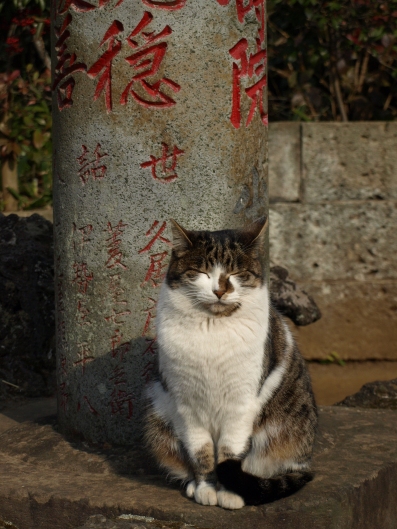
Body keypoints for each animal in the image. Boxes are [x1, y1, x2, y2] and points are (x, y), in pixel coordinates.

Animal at [144, 214, 318, 508]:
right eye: (202, 272)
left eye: (237, 273)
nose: (220, 290)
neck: (212, 327)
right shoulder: (186, 404)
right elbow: (201, 452)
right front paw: (205, 488)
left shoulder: (242, 402)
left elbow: (230, 451)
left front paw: (229, 493)